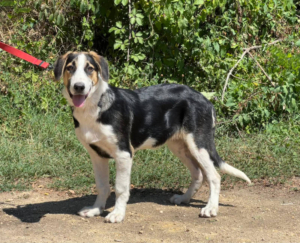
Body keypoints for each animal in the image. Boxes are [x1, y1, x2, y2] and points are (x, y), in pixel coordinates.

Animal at [53, 52, 251, 223]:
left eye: (89, 69)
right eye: (70, 68)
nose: (79, 87)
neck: (95, 107)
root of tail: (205, 99)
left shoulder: (124, 154)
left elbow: (120, 188)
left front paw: (117, 214)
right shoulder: (97, 155)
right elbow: (102, 186)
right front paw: (96, 210)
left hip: (198, 144)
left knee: (214, 176)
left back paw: (210, 208)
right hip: (179, 146)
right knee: (198, 173)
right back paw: (184, 198)